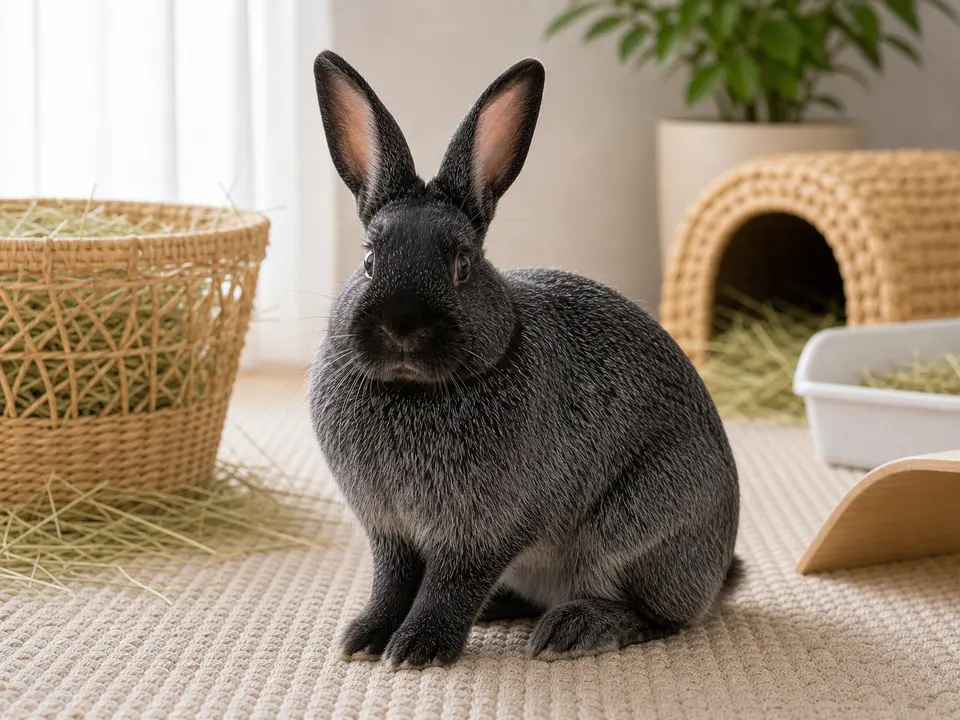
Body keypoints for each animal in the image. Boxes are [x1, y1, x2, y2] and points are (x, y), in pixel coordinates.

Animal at [308, 49, 742, 668]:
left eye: (463, 266)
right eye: (369, 261)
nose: (402, 327)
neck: (413, 391)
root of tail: (718, 570)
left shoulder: (484, 535)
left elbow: (450, 587)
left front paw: (418, 648)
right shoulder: (390, 533)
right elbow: (391, 584)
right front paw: (364, 638)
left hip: (639, 527)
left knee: (659, 616)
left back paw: (573, 631)